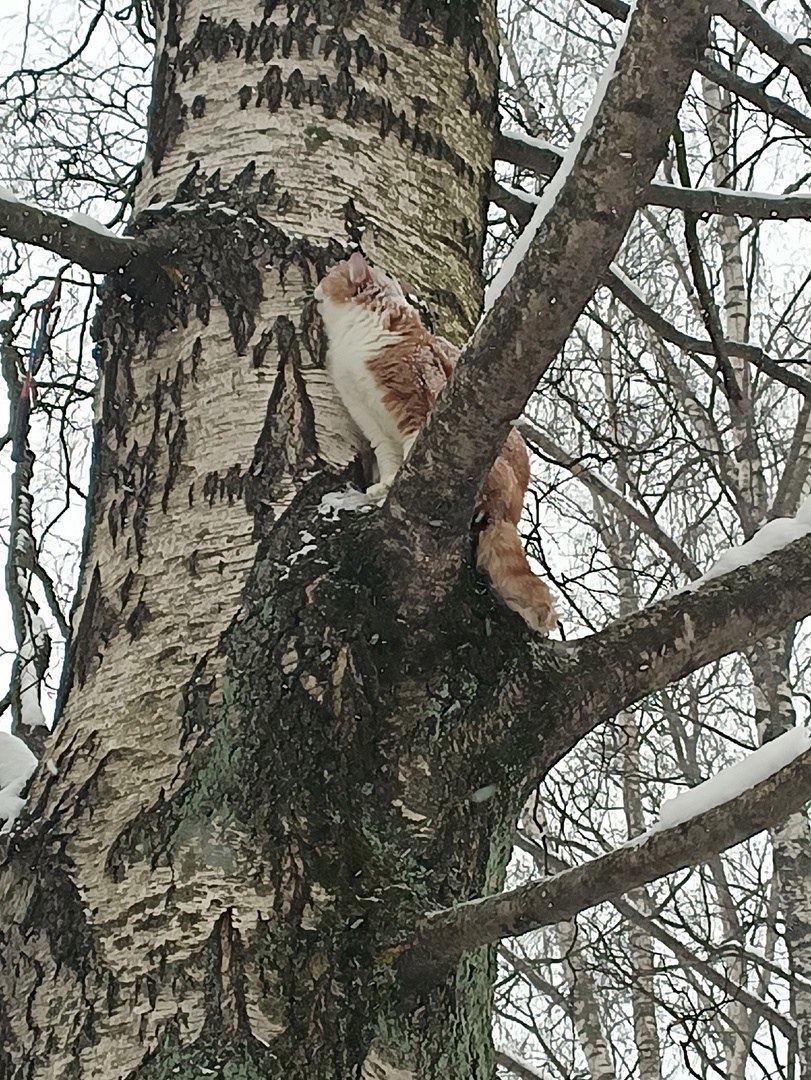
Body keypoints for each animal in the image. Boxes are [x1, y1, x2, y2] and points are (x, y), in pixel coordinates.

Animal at [313, 250, 557, 630]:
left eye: (331, 275)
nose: (315, 288)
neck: (353, 339)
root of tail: (510, 514)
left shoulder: (414, 402)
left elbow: (411, 448)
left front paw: (396, 484)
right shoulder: (370, 420)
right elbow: (389, 459)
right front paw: (384, 487)